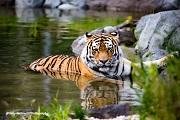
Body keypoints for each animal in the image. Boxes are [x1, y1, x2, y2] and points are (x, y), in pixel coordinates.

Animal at [22, 31, 177, 78]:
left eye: (109, 49)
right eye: (96, 50)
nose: (103, 61)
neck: (111, 68)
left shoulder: (133, 67)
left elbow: (150, 64)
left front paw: (173, 55)